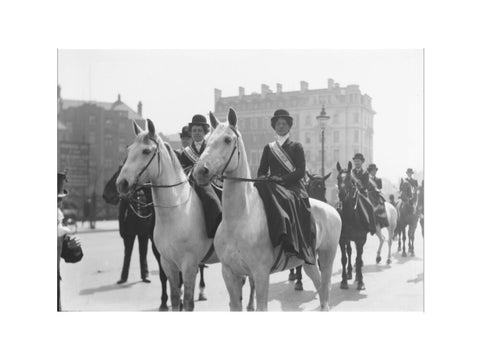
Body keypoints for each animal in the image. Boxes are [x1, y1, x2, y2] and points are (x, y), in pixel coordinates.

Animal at [116, 119, 231, 310]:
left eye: (146, 151)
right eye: (129, 149)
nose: (121, 183)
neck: (175, 212)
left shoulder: (189, 265)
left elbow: (188, 302)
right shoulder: (167, 263)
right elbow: (176, 298)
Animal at [192, 108, 342, 310]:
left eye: (227, 140)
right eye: (206, 140)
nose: (200, 171)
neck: (238, 220)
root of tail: (331, 209)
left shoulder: (261, 273)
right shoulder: (229, 273)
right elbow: (236, 305)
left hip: (327, 256)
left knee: (325, 289)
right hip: (308, 260)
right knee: (319, 286)